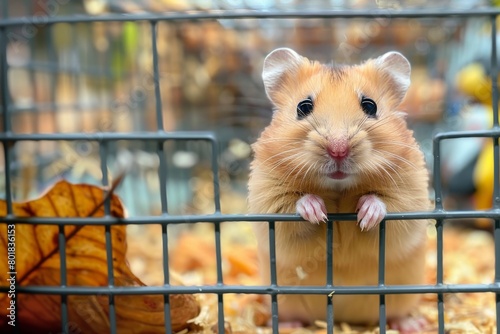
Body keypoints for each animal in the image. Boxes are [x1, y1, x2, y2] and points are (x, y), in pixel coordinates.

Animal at [248, 48, 432, 332]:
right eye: (303, 107)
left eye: (370, 105)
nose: (338, 149)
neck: (337, 187)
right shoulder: (266, 198)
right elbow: (291, 209)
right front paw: (316, 210)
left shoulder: (412, 196)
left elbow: (389, 207)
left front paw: (366, 212)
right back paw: (290, 326)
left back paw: (414, 324)